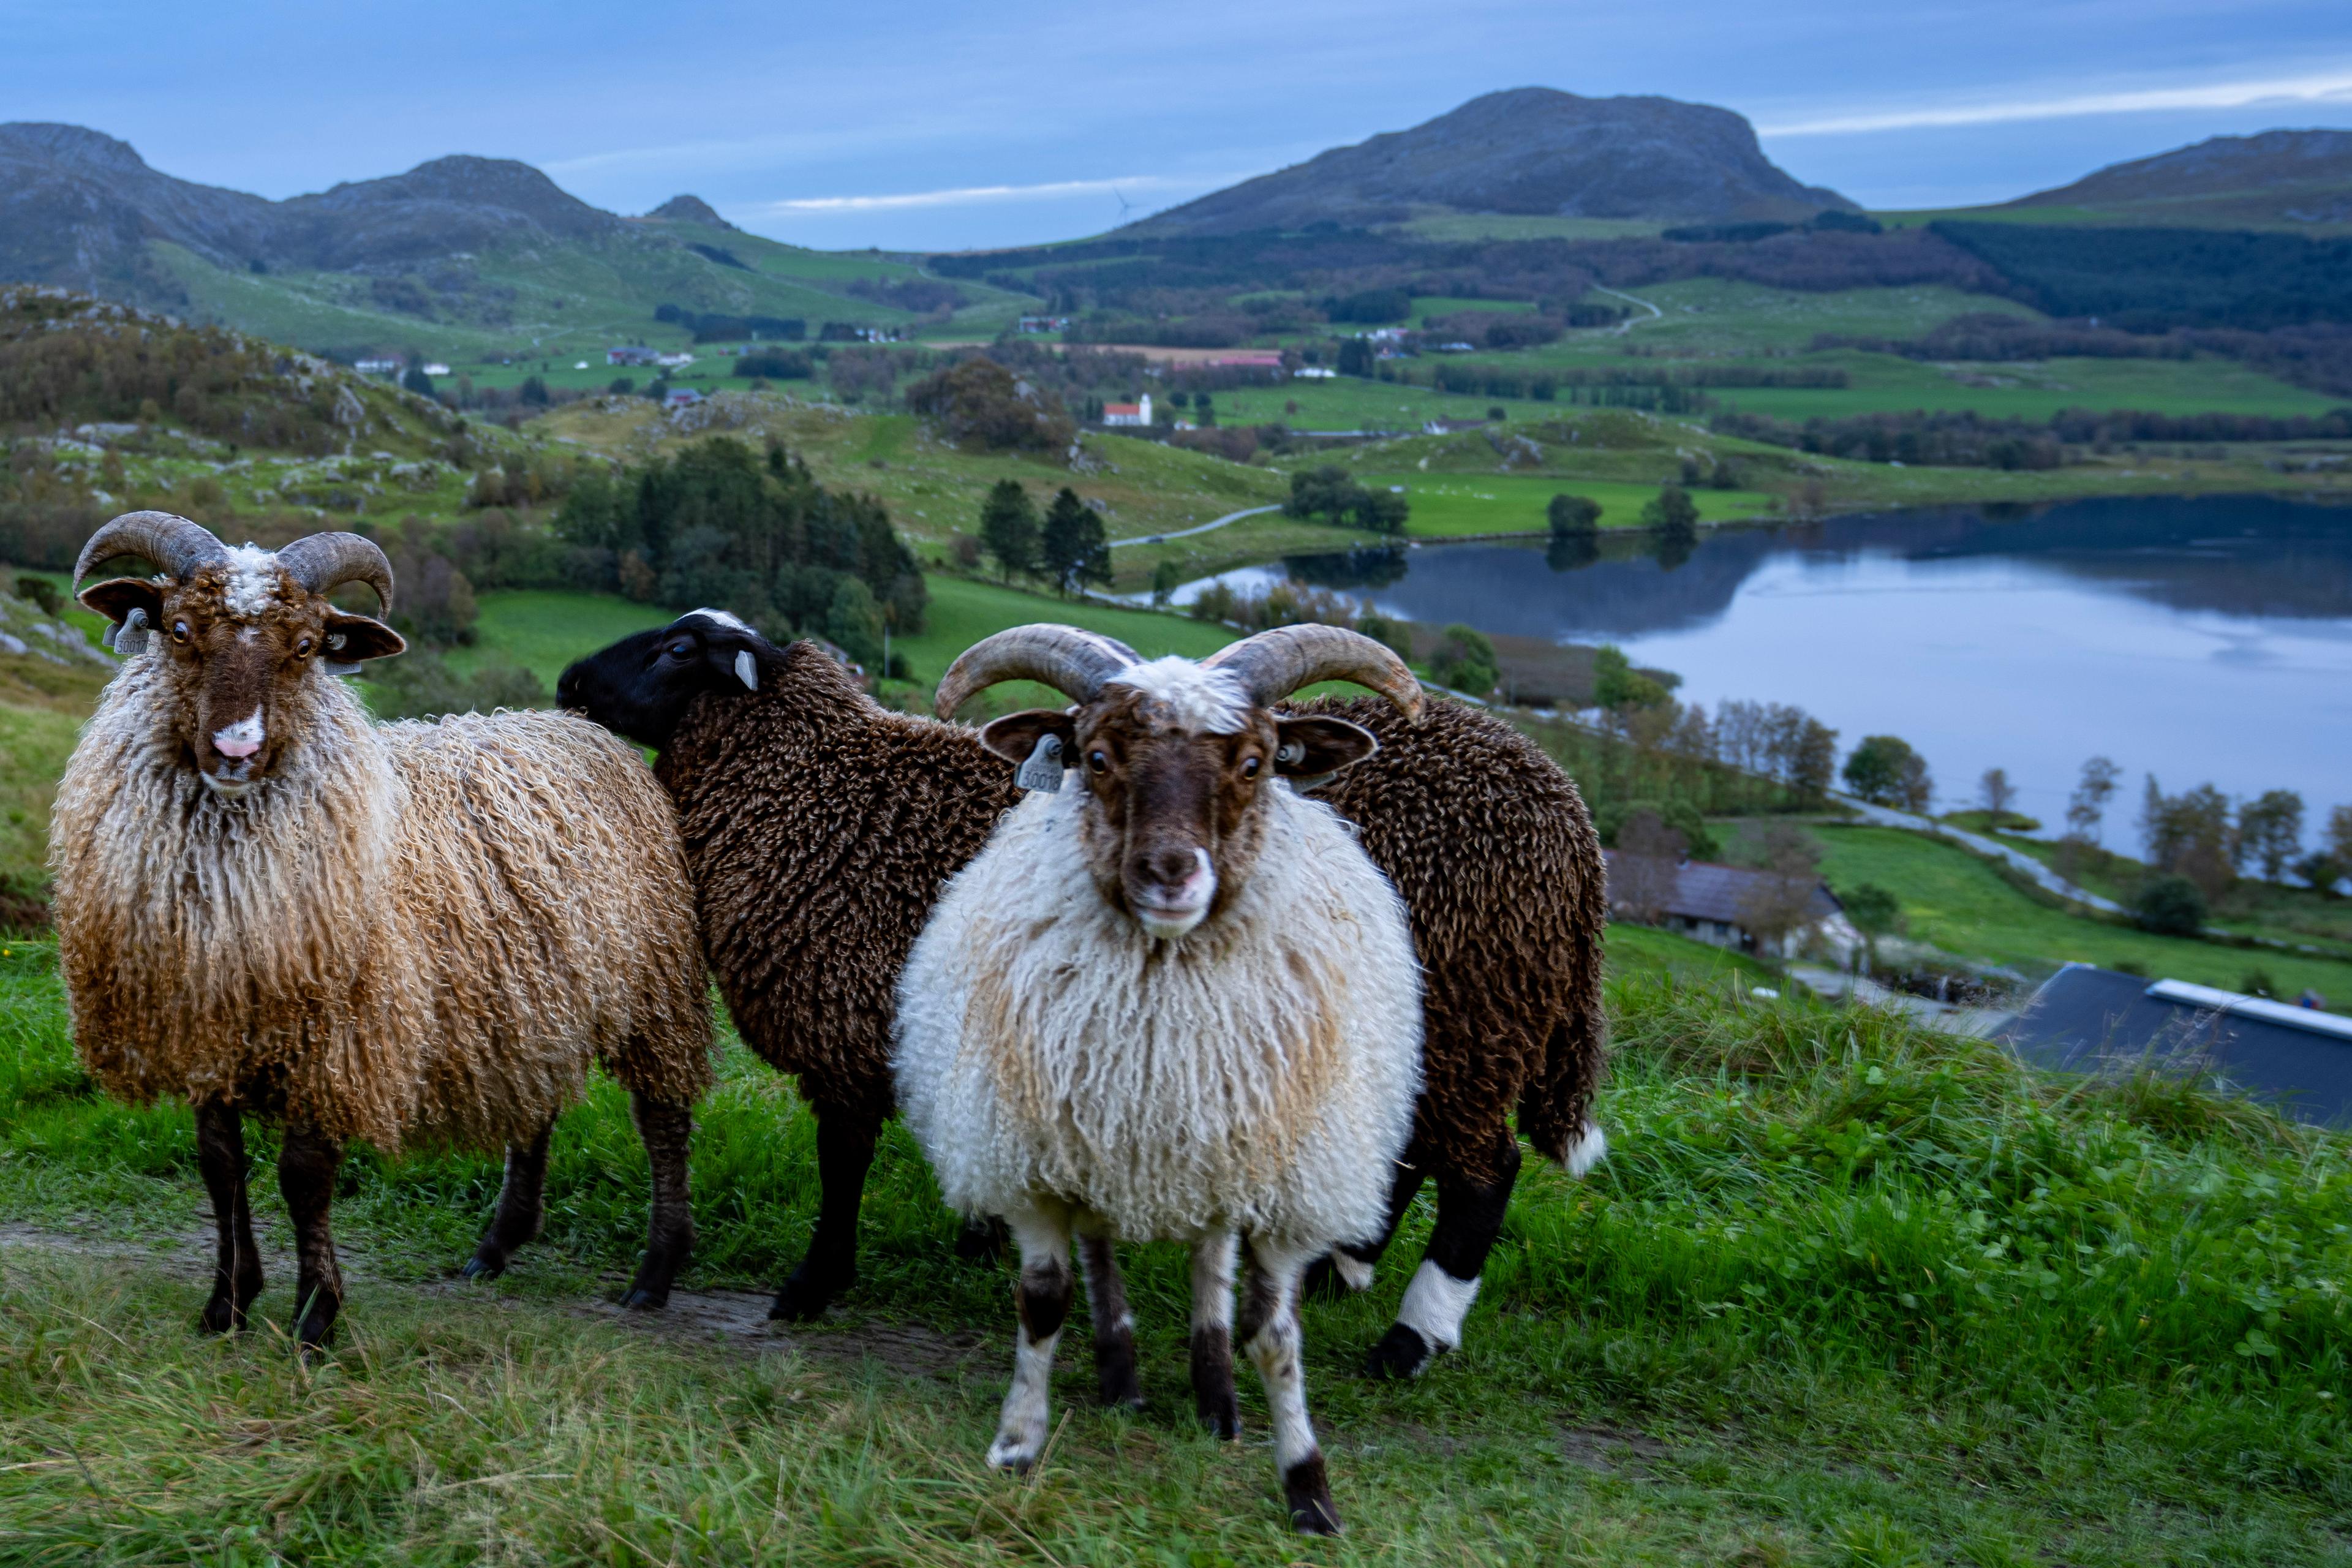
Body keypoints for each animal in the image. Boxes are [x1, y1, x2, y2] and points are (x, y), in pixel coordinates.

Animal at [53, 512, 706, 1354]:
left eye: (306, 646)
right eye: (178, 628)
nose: (236, 749)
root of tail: (581, 729)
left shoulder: (339, 1037)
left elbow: (304, 1176)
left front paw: (315, 1315)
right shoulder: (208, 1030)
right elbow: (220, 1166)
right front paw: (228, 1303)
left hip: (659, 980)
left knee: (664, 1119)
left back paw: (655, 1271)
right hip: (533, 995)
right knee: (535, 1104)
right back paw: (496, 1246)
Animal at [894, 620, 1411, 1532]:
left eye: (1256, 762)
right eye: (1097, 758)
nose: (1170, 873)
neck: (1164, 1016)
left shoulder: (1286, 1182)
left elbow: (1276, 1337)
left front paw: (1308, 1486)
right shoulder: (1035, 1162)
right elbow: (1044, 1300)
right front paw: (1017, 1444)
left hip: (1219, 1152)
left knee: (1212, 1254)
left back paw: (1215, 1397)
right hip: (1097, 1142)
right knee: (1102, 1247)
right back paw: (1123, 1374)